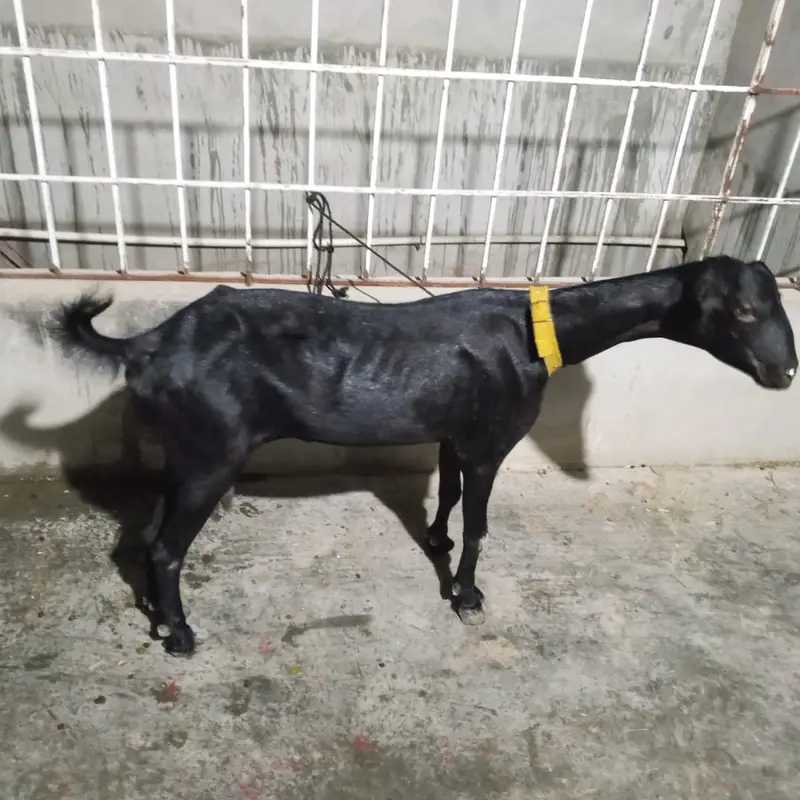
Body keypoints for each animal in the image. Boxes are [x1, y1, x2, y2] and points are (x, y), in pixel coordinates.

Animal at [54, 255, 797, 656]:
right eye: (741, 312)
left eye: (774, 305)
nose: (784, 373)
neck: (534, 336)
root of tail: (148, 344)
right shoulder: (491, 439)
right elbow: (481, 519)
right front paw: (466, 594)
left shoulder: (454, 430)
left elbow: (448, 489)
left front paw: (436, 540)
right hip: (213, 452)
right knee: (166, 545)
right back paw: (180, 633)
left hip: (185, 450)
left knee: (145, 533)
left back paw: (155, 616)